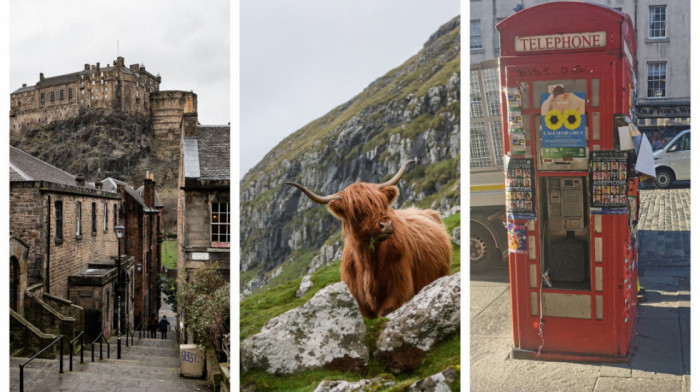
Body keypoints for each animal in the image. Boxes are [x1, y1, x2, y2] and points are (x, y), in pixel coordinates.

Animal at [288, 159, 452, 318]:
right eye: (357, 210)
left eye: (382, 203)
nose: (386, 225)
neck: (368, 264)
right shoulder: (358, 300)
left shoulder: (399, 289)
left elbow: (386, 311)